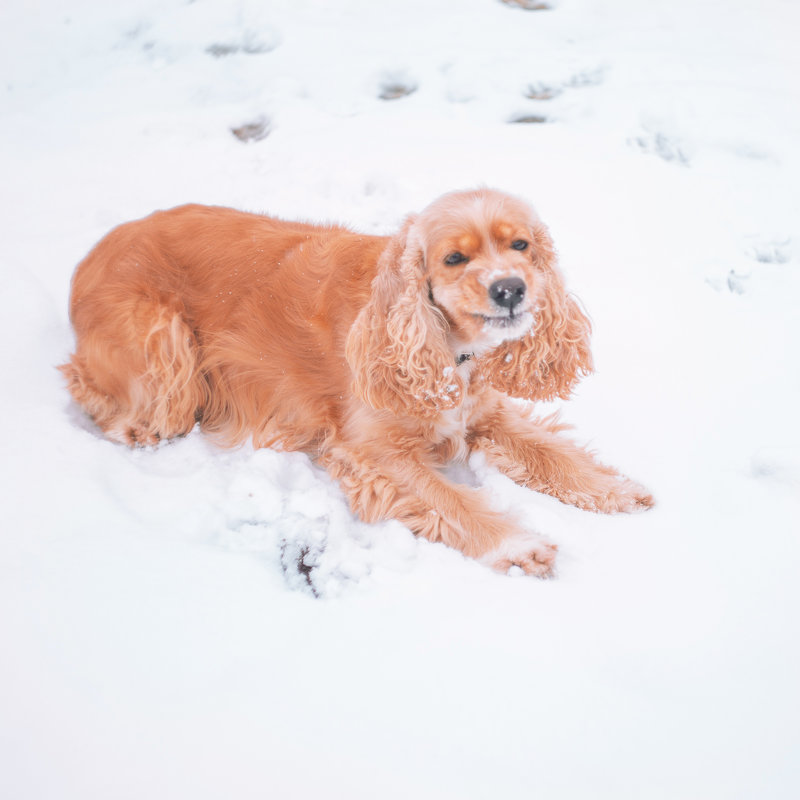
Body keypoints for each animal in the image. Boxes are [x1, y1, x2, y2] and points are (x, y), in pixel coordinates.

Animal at [61, 188, 648, 576]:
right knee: (99, 390)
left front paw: (614, 488)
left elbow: (550, 452)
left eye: (521, 245)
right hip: (168, 353)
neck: (447, 349)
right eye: (454, 258)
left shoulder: (483, 413)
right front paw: (517, 544)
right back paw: (133, 429)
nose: (510, 289)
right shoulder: (374, 451)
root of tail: (91, 254)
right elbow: (451, 500)